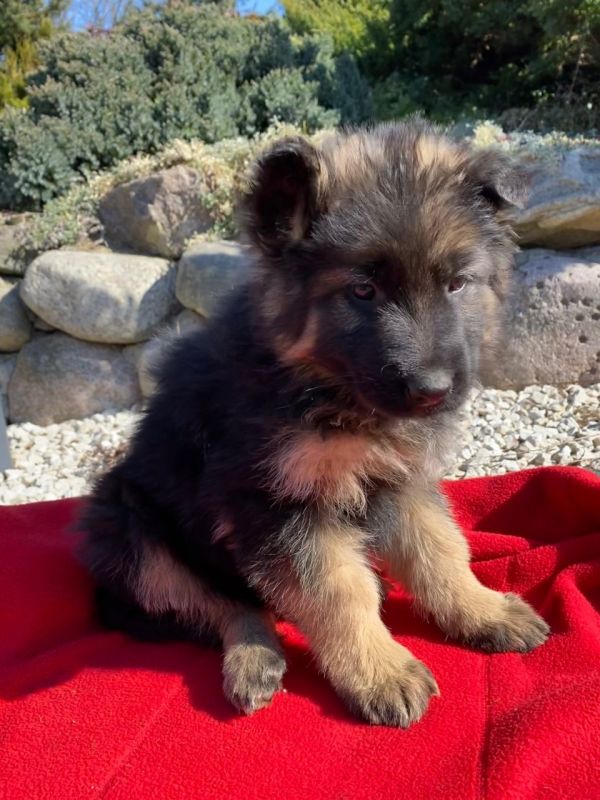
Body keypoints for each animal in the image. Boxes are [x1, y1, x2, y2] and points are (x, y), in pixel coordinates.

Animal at [79, 120, 549, 727]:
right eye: (362, 291)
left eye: (456, 284)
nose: (433, 391)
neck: (328, 390)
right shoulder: (279, 504)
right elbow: (340, 592)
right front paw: (380, 670)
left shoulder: (399, 481)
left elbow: (441, 551)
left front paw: (481, 609)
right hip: (132, 530)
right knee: (226, 604)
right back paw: (255, 660)